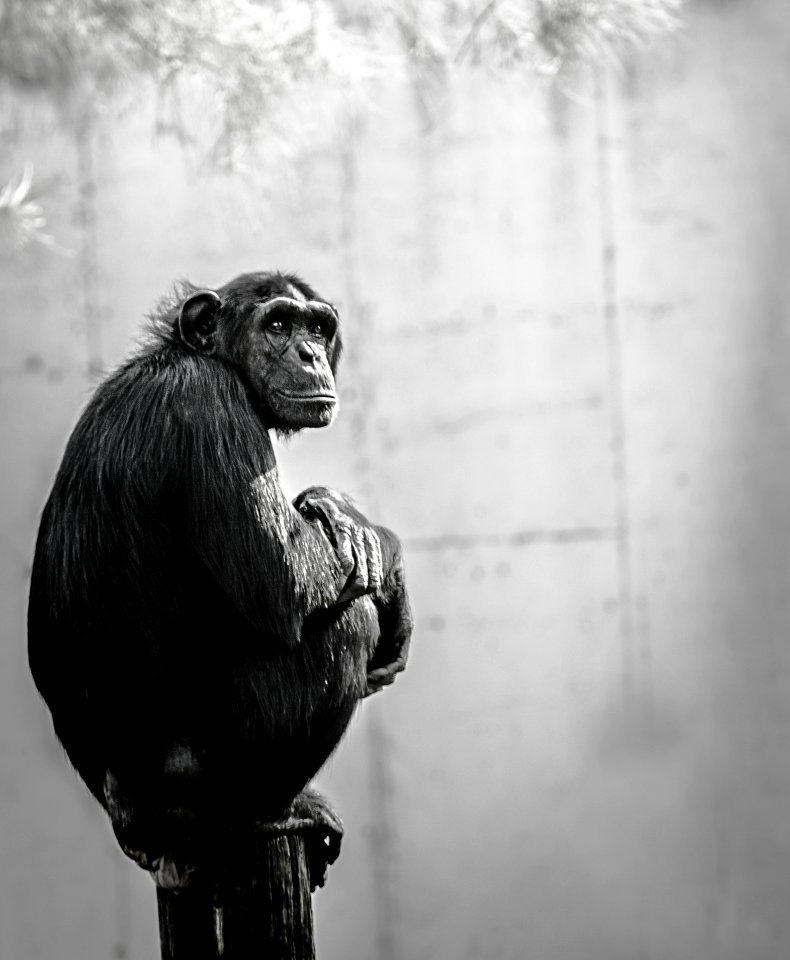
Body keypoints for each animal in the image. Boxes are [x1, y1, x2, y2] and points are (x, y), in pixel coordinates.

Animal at [27, 270, 412, 892]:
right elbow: (287, 578)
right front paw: (369, 541)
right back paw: (275, 812)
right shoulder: (209, 404)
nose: (309, 354)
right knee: (346, 624)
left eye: (317, 327)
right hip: (202, 783)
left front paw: (335, 510)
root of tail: (132, 824)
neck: (201, 358)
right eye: (277, 323)